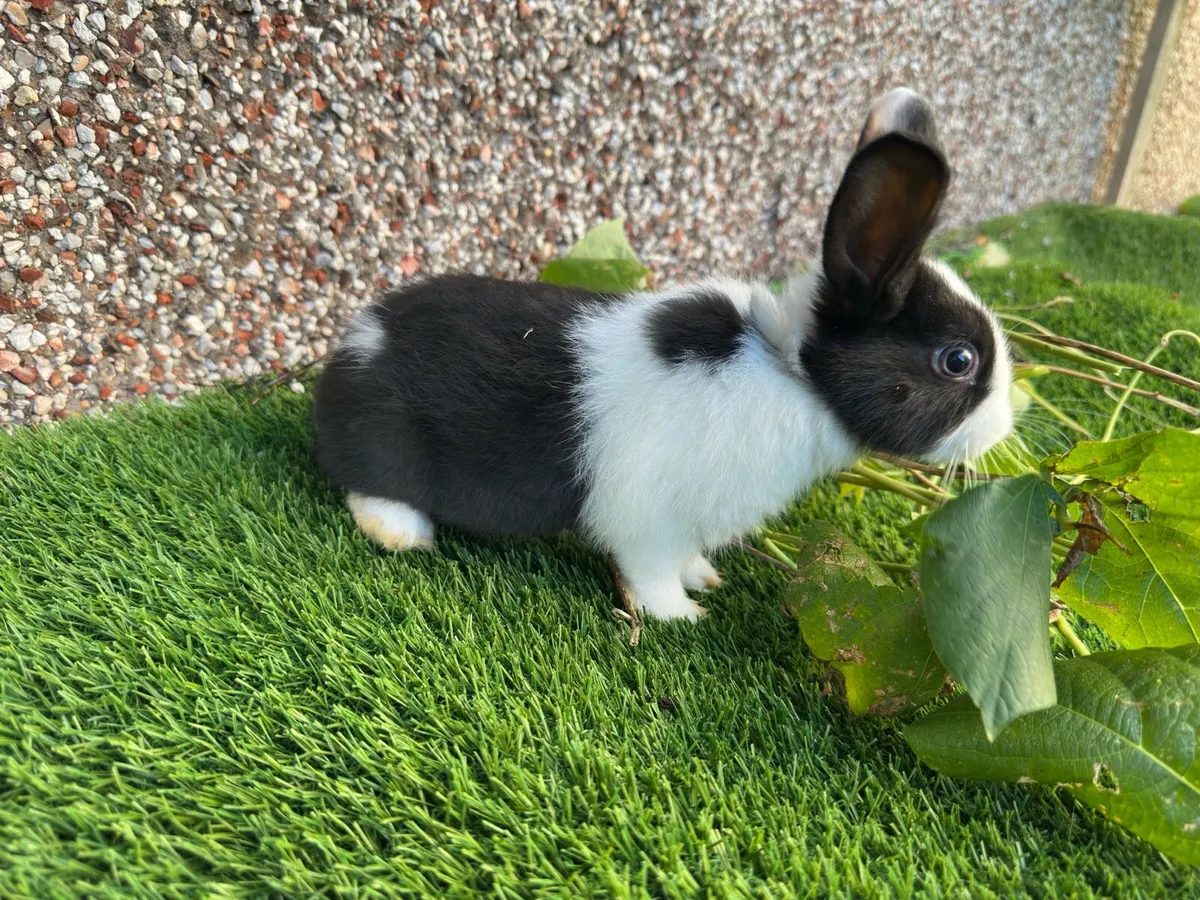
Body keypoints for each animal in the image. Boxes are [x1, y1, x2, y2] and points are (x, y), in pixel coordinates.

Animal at [313, 88, 1014, 621]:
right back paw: (404, 534)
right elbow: (650, 574)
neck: (790, 373)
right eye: (958, 360)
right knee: (367, 487)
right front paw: (683, 615)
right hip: (387, 446)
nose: (1007, 427)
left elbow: (684, 558)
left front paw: (705, 578)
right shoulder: (648, 519)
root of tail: (353, 346)